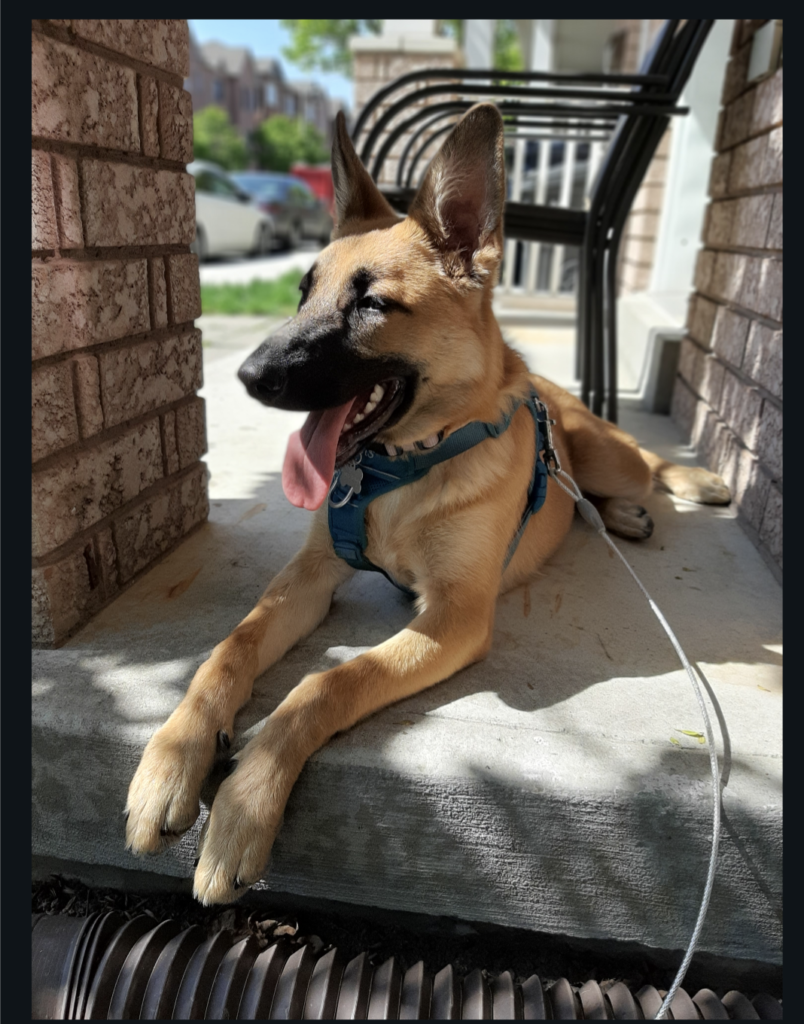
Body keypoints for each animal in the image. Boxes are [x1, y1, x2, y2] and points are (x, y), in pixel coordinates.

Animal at [123, 103, 729, 905]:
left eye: (372, 303)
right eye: (302, 292)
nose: (249, 376)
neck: (397, 473)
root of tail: (550, 391)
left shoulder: (455, 616)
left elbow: (328, 681)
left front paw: (246, 802)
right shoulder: (307, 576)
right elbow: (232, 648)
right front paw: (173, 755)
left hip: (613, 455)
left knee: (645, 464)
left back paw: (687, 484)